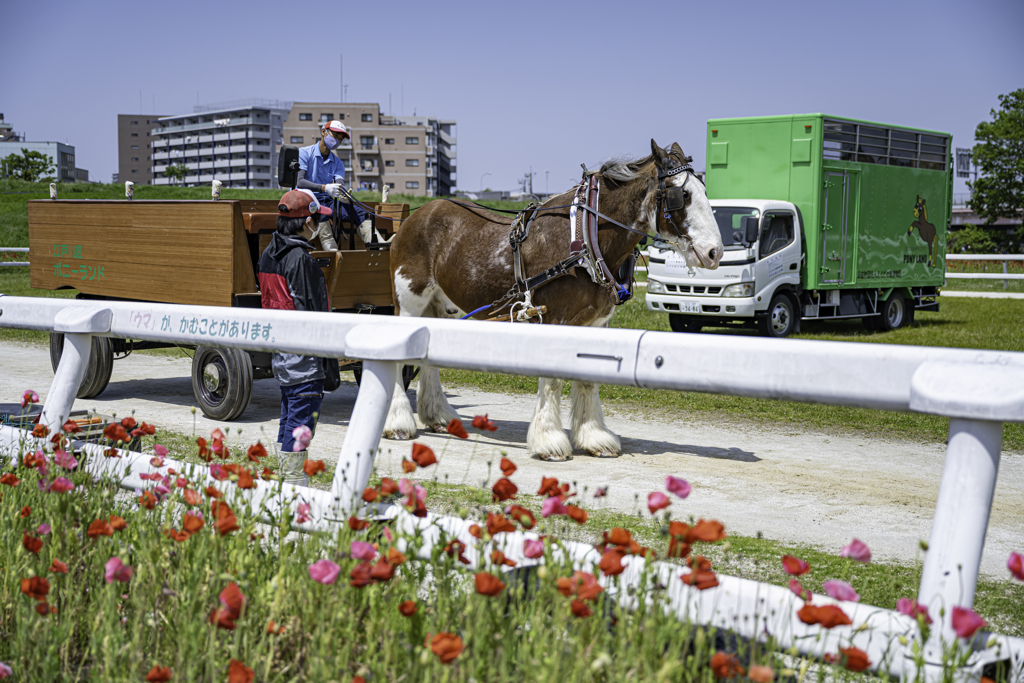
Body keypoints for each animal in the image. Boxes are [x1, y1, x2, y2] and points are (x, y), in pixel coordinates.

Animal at [380, 139, 724, 462]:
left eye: (704, 191)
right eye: (683, 195)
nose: (715, 252)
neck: (586, 240)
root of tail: (415, 217)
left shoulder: (594, 324)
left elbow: (588, 379)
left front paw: (595, 437)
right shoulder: (553, 318)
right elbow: (553, 381)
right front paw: (549, 441)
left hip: (442, 306)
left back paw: (437, 416)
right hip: (409, 301)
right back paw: (397, 423)